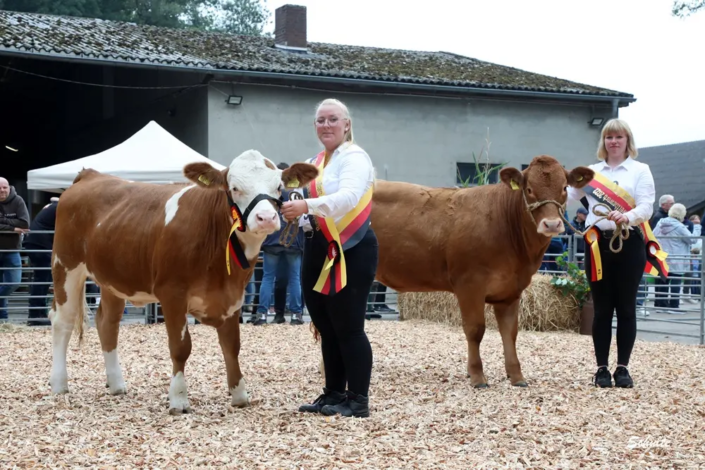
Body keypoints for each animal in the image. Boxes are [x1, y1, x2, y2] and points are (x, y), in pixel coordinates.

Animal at [46, 151, 316, 414]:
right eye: (234, 188)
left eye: (278, 187)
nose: (266, 217)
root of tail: (90, 175)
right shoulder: (172, 293)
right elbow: (180, 347)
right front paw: (178, 399)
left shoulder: (233, 297)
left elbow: (232, 345)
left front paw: (239, 395)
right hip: (66, 266)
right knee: (63, 322)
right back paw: (59, 383)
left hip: (113, 279)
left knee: (108, 324)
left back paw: (116, 384)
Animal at [312, 156, 588, 388]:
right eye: (529, 189)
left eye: (564, 188)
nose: (552, 224)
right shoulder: (470, 284)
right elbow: (475, 330)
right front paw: (477, 376)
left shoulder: (510, 291)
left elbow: (510, 333)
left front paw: (516, 376)